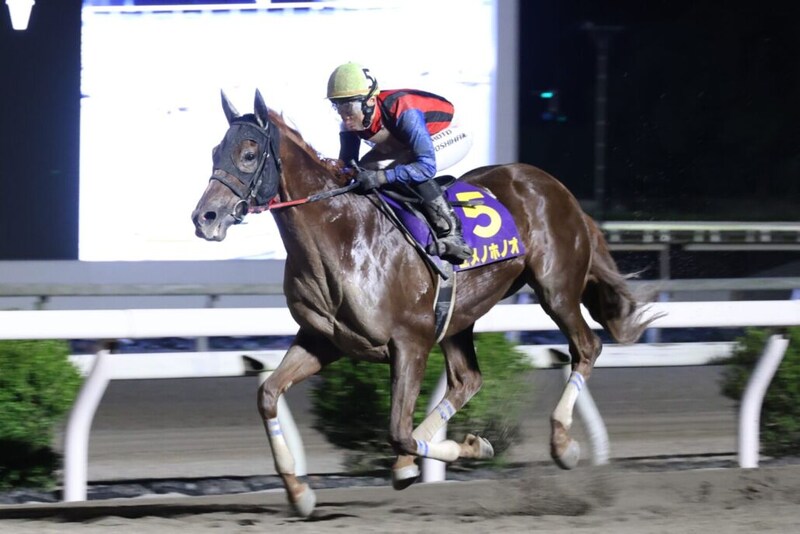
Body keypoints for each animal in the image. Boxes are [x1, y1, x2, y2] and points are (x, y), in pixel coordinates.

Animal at [191, 90, 657, 517]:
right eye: (215, 151)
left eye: (249, 153)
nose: (204, 219)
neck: (340, 234)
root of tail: (554, 186)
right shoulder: (323, 340)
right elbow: (268, 394)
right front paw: (300, 492)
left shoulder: (410, 342)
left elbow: (397, 429)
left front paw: (461, 449)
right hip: (460, 314)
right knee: (468, 380)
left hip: (555, 289)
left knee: (586, 348)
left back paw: (562, 443)